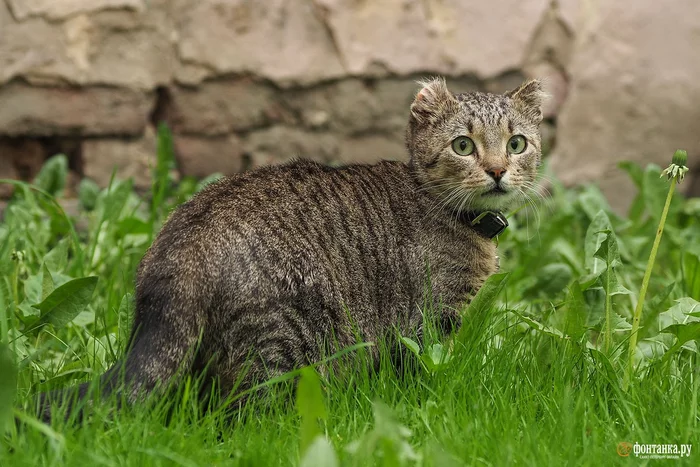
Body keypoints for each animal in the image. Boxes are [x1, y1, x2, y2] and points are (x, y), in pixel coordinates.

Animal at [38, 76, 548, 420]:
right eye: (463, 146)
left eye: (516, 143)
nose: (498, 170)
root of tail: (181, 252)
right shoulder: (425, 321)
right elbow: (420, 374)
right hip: (284, 340)